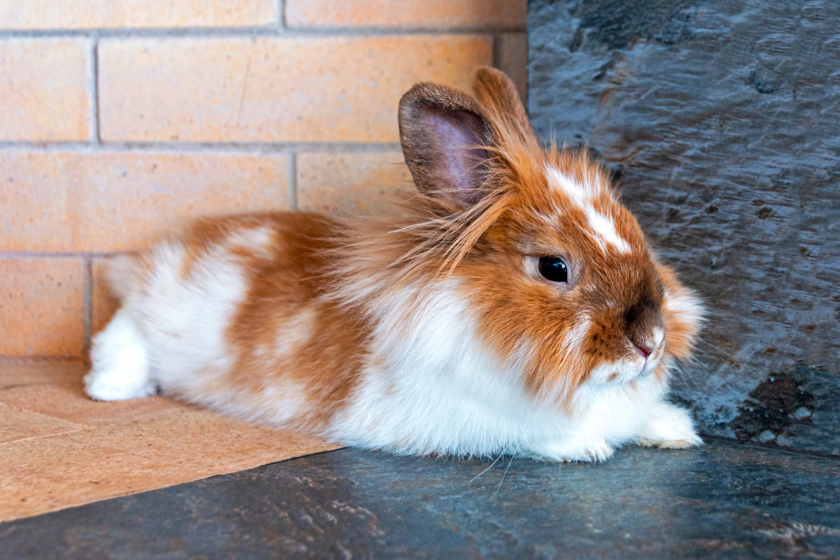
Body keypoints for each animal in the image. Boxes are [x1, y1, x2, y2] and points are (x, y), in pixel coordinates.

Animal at [85, 68, 704, 462]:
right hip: (152, 312)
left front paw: (677, 431)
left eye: (637, 234)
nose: (650, 342)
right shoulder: (459, 420)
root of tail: (170, 247)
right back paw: (111, 388)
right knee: (122, 328)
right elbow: (528, 434)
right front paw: (588, 447)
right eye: (554, 267)